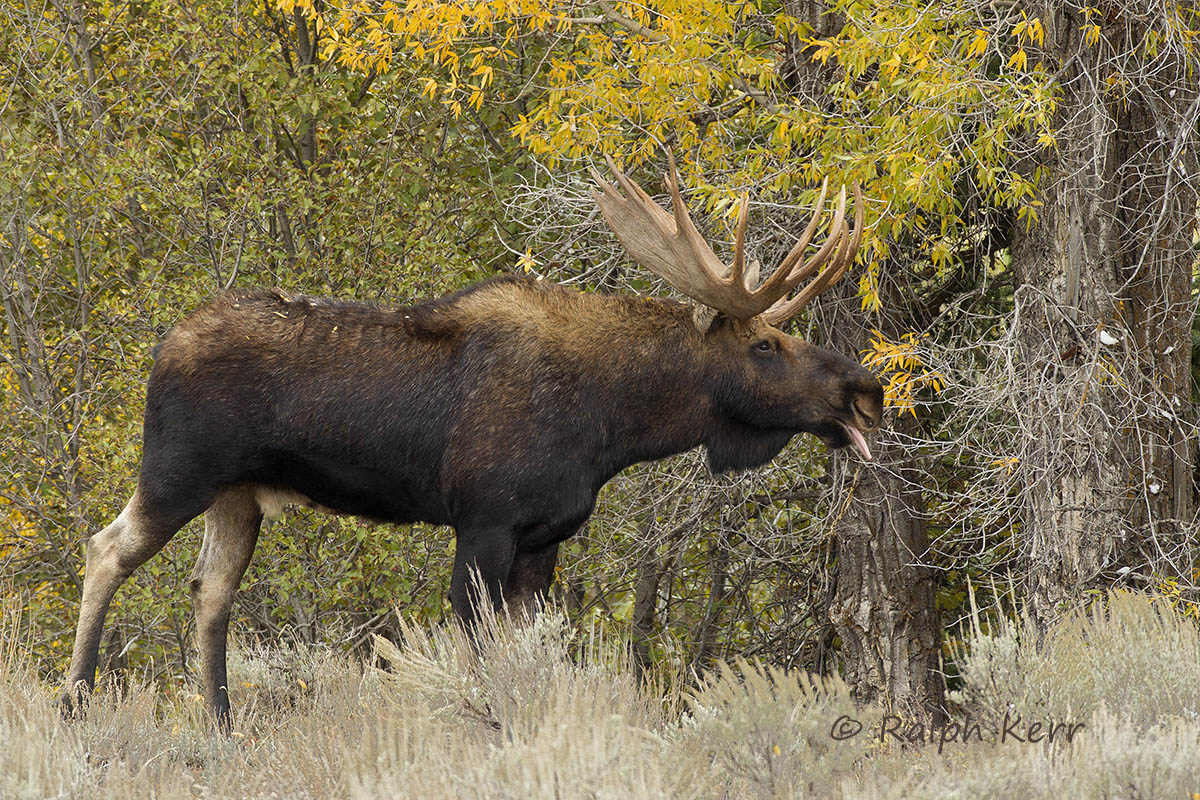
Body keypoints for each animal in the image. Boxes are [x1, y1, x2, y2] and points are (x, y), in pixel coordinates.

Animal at [62, 153, 883, 730]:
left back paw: (223, 724)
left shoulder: (544, 538)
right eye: (766, 344)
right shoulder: (485, 521)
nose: (865, 390)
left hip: (238, 496)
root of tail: (162, 346)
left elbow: (526, 655)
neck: (615, 424)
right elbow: (478, 656)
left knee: (210, 590)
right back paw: (78, 703)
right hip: (179, 470)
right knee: (105, 549)